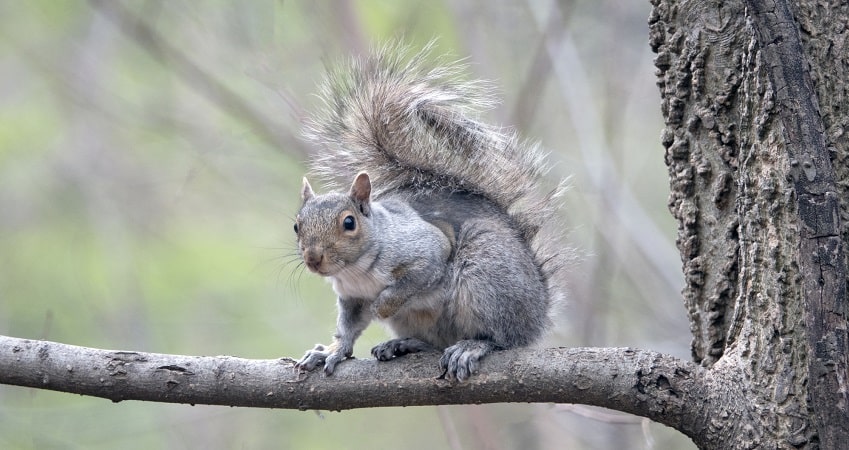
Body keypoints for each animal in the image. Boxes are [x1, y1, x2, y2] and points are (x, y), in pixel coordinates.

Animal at [294, 44, 568, 382]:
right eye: (296, 226)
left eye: (349, 222)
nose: (313, 258)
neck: (356, 271)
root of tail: (538, 314)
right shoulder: (351, 298)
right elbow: (349, 327)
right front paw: (331, 351)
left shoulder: (426, 250)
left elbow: (414, 279)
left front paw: (382, 306)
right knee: (437, 342)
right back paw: (405, 344)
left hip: (488, 275)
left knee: (502, 338)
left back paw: (472, 346)